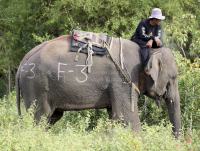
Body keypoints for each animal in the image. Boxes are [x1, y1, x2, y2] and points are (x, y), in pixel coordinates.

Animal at [16, 34, 181, 137]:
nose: (178, 141)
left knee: (51, 118)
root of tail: (22, 62)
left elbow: (115, 115)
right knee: (39, 117)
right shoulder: (123, 79)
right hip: (36, 85)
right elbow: (126, 117)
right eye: (173, 78)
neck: (147, 51)